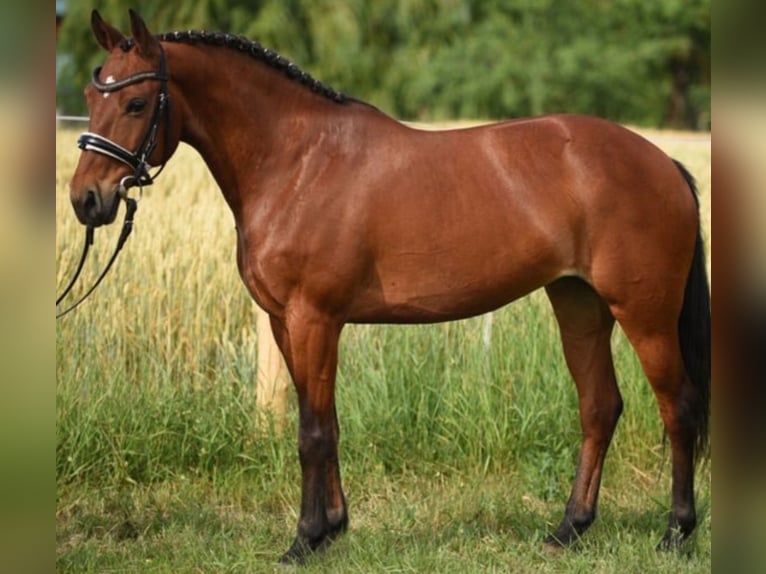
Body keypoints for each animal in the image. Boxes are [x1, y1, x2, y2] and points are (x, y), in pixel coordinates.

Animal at [67, 10, 712, 568]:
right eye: (91, 99)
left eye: (136, 101)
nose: (86, 201)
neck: (297, 162)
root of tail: (665, 165)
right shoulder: (285, 322)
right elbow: (324, 421)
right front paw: (332, 528)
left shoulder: (314, 318)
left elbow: (312, 431)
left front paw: (304, 541)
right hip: (579, 303)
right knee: (599, 406)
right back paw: (568, 530)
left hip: (645, 313)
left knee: (676, 407)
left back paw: (675, 533)